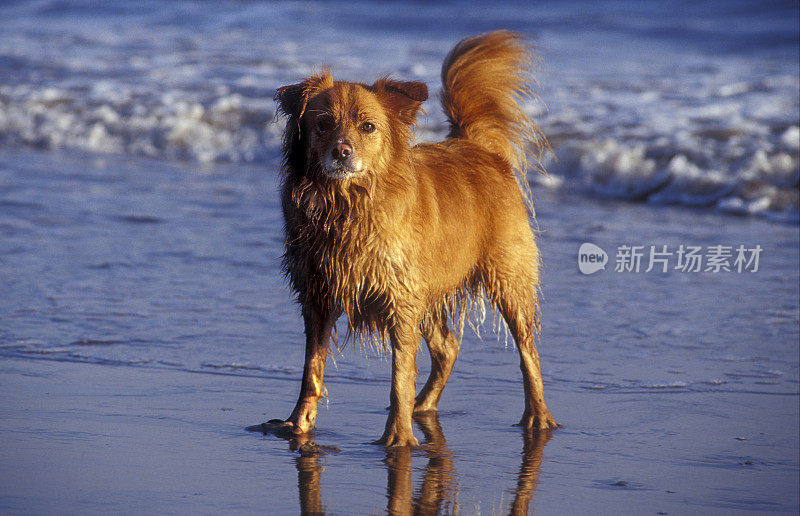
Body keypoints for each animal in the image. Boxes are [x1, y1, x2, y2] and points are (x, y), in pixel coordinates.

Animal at [255, 29, 556, 448]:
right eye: (323, 124)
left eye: (368, 127)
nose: (342, 152)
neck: (347, 204)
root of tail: (478, 146)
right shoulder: (318, 295)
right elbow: (311, 371)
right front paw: (298, 425)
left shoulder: (400, 301)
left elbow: (399, 375)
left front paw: (397, 436)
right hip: (427, 289)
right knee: (448, 347)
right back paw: (423, 407)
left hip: (506, 279)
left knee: (529, 351)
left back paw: (537, 416)